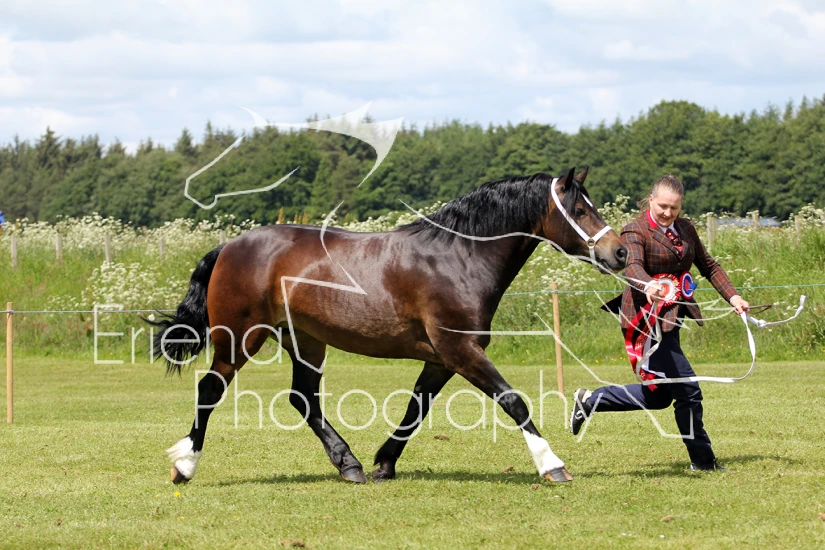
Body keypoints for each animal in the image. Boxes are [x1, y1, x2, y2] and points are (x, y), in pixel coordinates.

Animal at [149, 166, 627, 485]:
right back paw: (184, 466)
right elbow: (513, 401)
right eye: (580, 209)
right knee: (210, 390)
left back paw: (350, 465)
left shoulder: (443, 360)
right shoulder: (461, 352)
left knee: (303, 398)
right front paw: (552, 464)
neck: (458, 257)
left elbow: (417, 408)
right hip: (239, 339)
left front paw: (384, 463)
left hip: (306, 341)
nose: (619, 252)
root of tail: (230, 246)